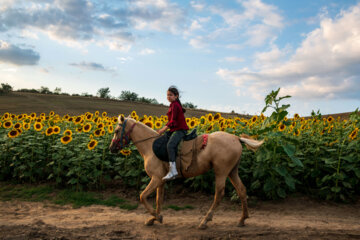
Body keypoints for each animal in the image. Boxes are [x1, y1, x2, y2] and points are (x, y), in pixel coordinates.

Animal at [108, 115, 262, 230]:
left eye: (116, 131)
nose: (111, 148)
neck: (150, 146)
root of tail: (236, 138)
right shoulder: (161, 181)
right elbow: (158, 200)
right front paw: (154, 219)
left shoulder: (156, 179)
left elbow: (142, 196)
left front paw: (157, 217)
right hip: (232, 172)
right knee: (242, 190)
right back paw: (242, 219)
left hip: (221, 172)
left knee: (219, 194)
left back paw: (204, 221)